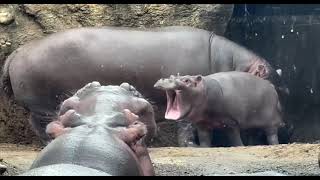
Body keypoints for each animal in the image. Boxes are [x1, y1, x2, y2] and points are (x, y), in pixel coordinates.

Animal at [154, 71, 284, 147]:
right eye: (172, 76)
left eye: (187, 80)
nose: (165, 80)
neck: (204, 90)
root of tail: (271, 86)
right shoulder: (202, 124)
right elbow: (204, 139)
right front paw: (204, 148)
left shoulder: (231, 122)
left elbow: (234, 138)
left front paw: (240, 146)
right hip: (252, 122)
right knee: (253, 134)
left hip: (271, 122)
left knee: (272, 135)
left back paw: (273, 145)